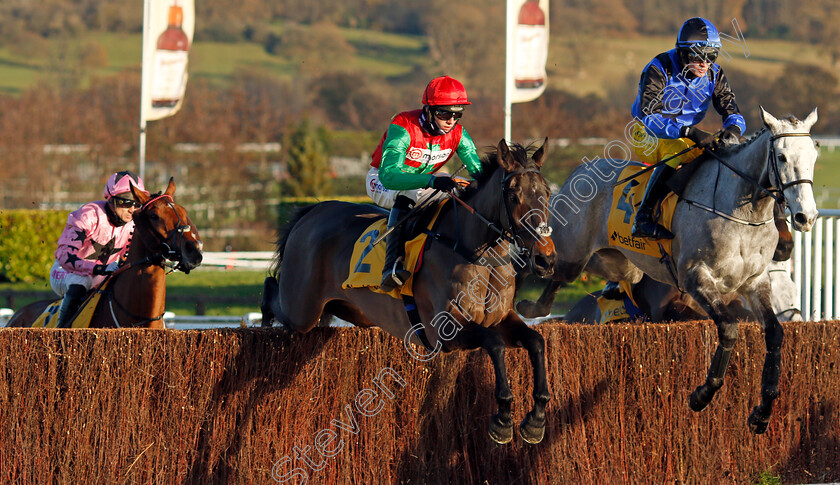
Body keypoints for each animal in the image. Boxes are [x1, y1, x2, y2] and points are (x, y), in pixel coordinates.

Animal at [520, 108, 820, 432]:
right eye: (782, 156)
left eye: (813, 155)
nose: (806, 216)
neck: (740, 213)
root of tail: (580, 171)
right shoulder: (694, 277)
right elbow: (728, 328)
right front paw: (702, 394)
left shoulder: (754, 283)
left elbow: (774, 333)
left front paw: (763, 411)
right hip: (573, 255)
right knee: (551, 272)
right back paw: (529, 304)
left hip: (618, 263)